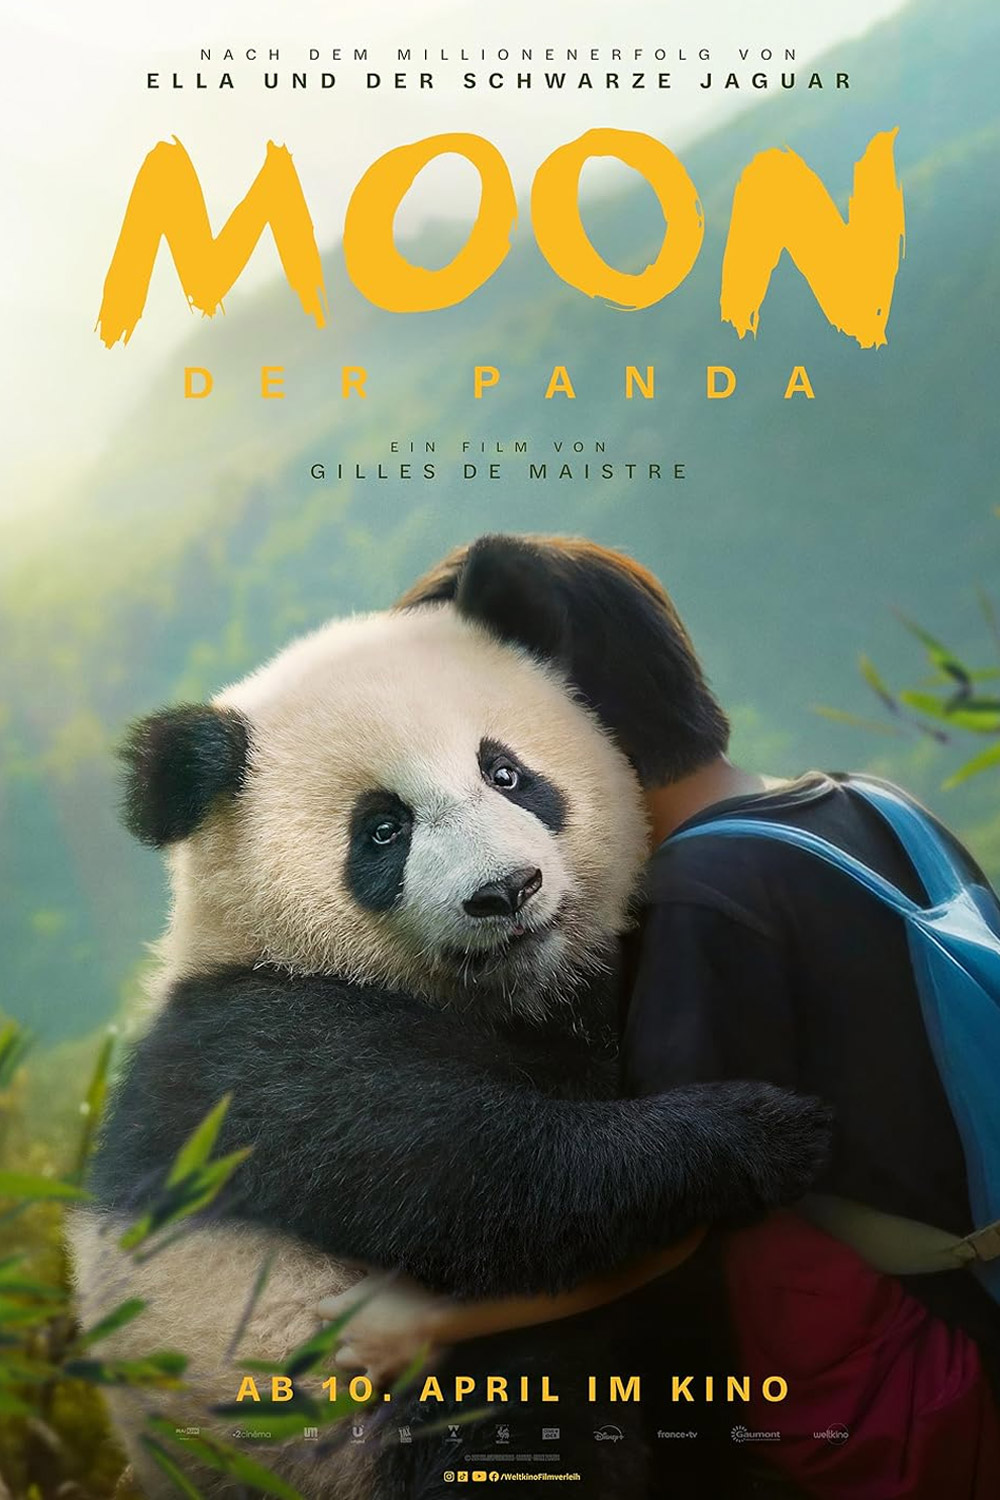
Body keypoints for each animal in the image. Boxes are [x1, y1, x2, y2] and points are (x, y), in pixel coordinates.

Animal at [70, 572, 828, 1500]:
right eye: (382, 829)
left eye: (505, 772)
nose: (506, 890)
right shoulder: (259, 1052)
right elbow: (481, 1177)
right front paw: (766, 1131)